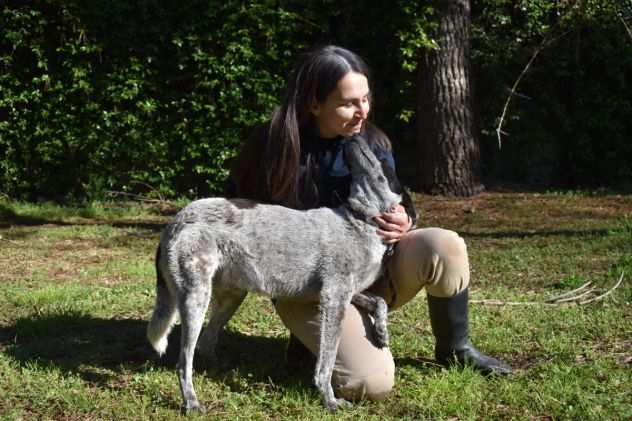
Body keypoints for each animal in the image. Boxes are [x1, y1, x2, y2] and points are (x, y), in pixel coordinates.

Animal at [146, 136, 402, 412]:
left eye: (384, 165)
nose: (353, 136)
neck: (361, 220)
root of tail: (176, 220)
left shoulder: (346, 293)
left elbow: (380, 301)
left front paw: (382, 332)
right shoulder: (334, 298)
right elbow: (326, 364)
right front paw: (329, 400)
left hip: (229, 298)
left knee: (205, 345)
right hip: (196, 299)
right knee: (184, 363)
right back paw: (192, 402)